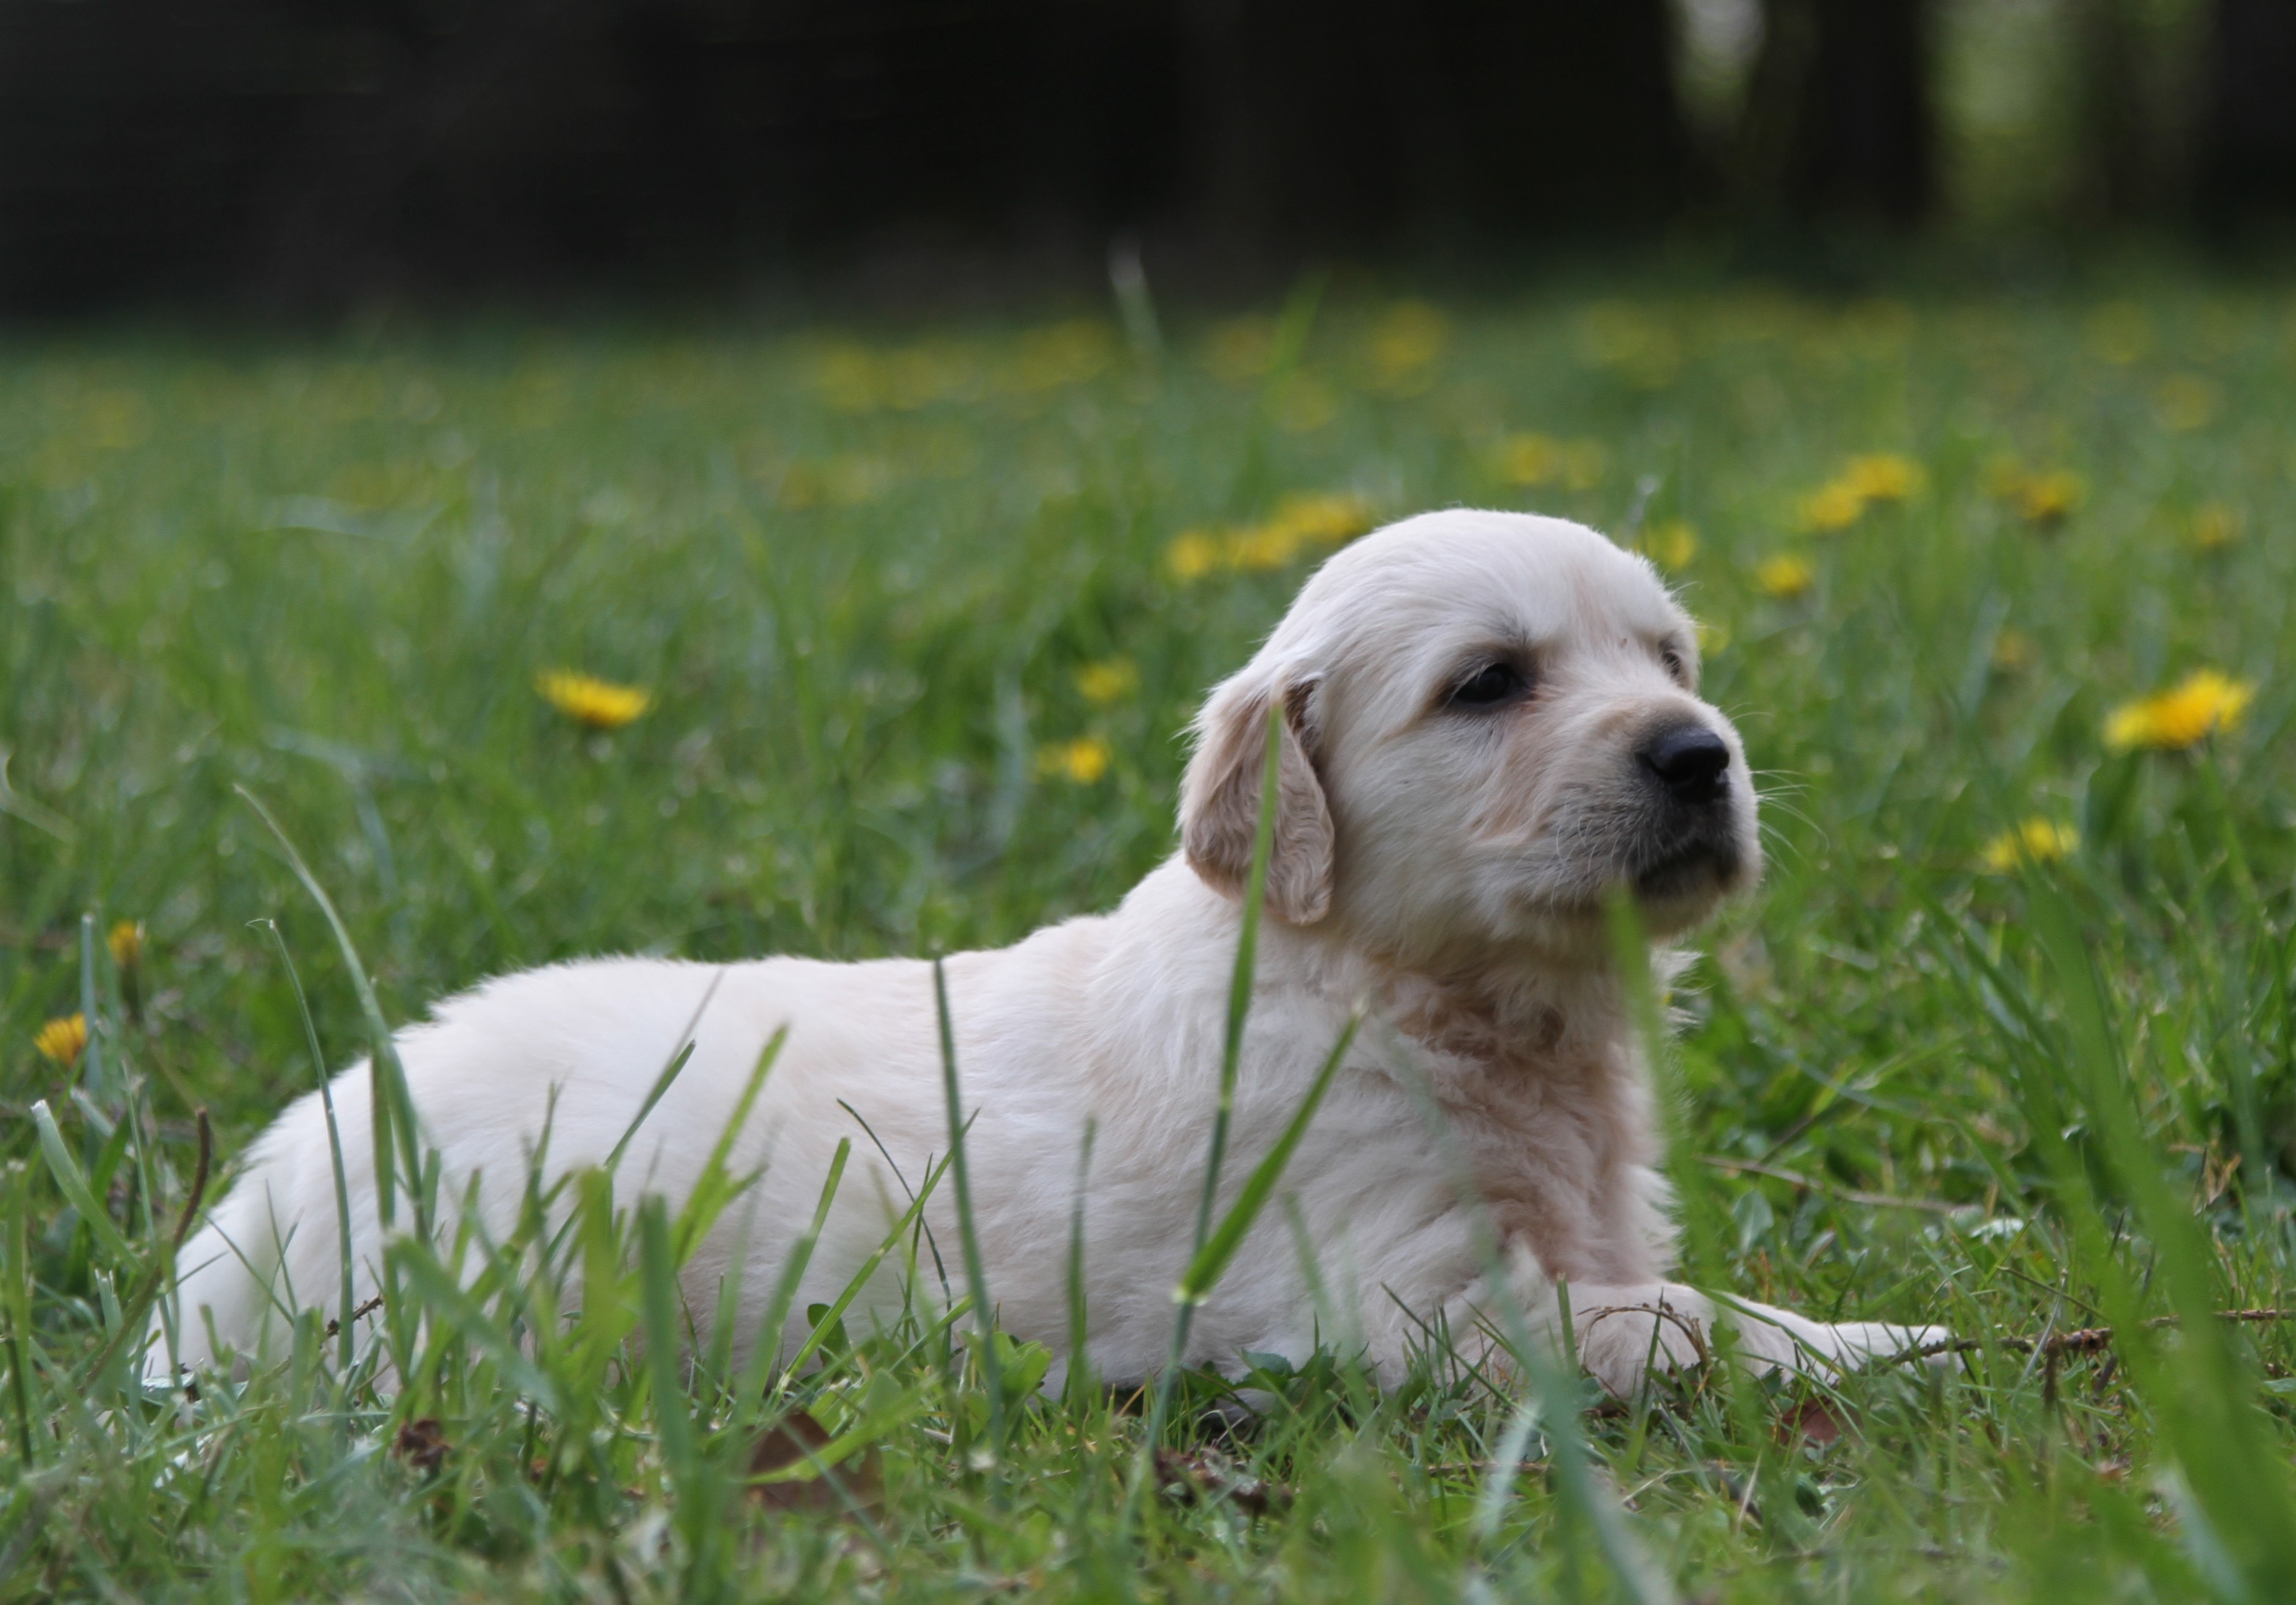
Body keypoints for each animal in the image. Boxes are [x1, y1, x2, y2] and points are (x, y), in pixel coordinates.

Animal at [162, 512, 1947, 1395]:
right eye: (1489, 683)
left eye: (1670, 658)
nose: (1698, 754)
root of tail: (241, 1227)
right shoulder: (1409, 1296)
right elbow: (1690, 1319)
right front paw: (1899, 1345)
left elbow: (1668, 1286)